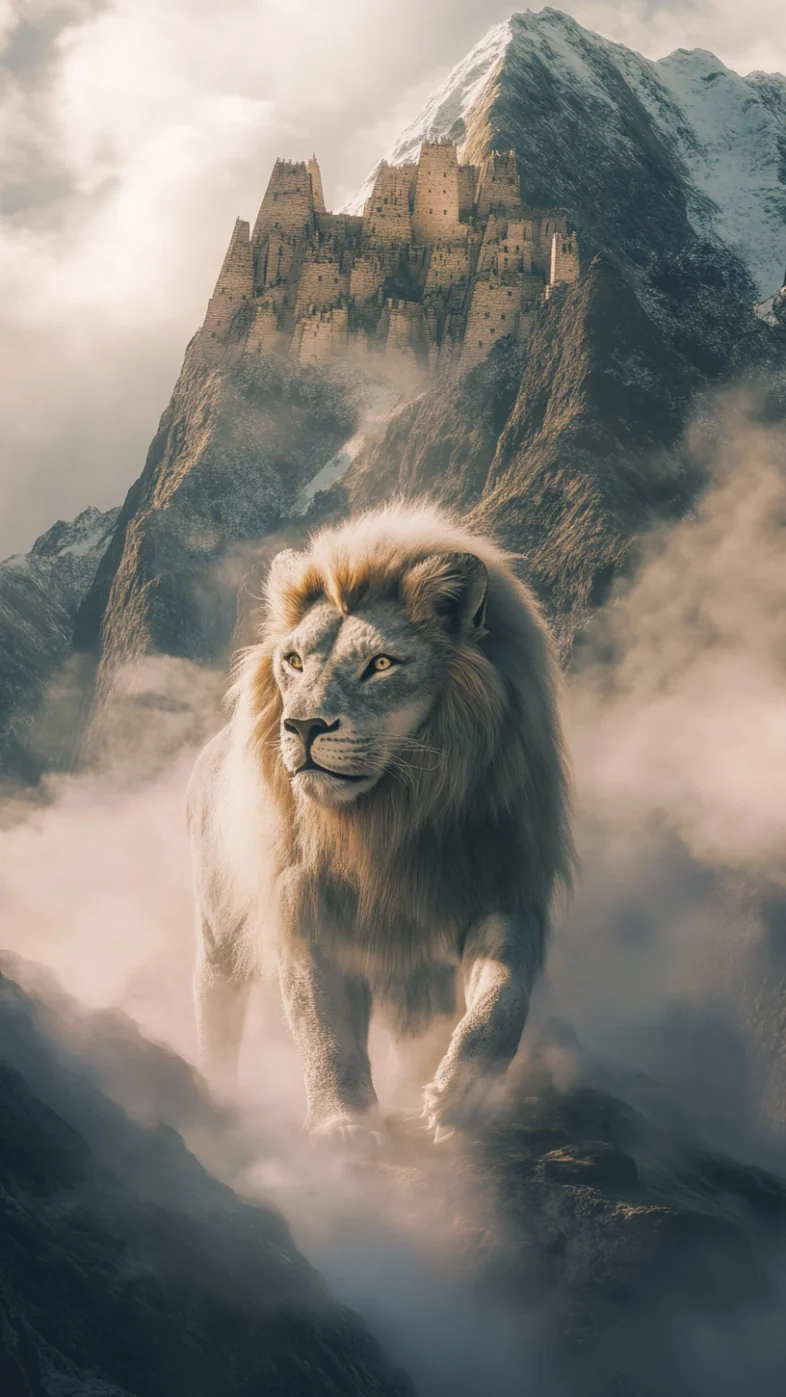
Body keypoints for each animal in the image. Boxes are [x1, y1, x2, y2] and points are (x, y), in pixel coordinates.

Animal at [187, 502, 574, 1142]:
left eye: (382, 664)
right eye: (294, 661)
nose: (303, 727)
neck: (388, 817)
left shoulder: (501, 889)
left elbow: (503, 996)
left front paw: (461, 1094)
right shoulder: (303, 908)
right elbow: (323, 1025)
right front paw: (341, 1120)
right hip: (218, 941)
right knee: (218, 1014)